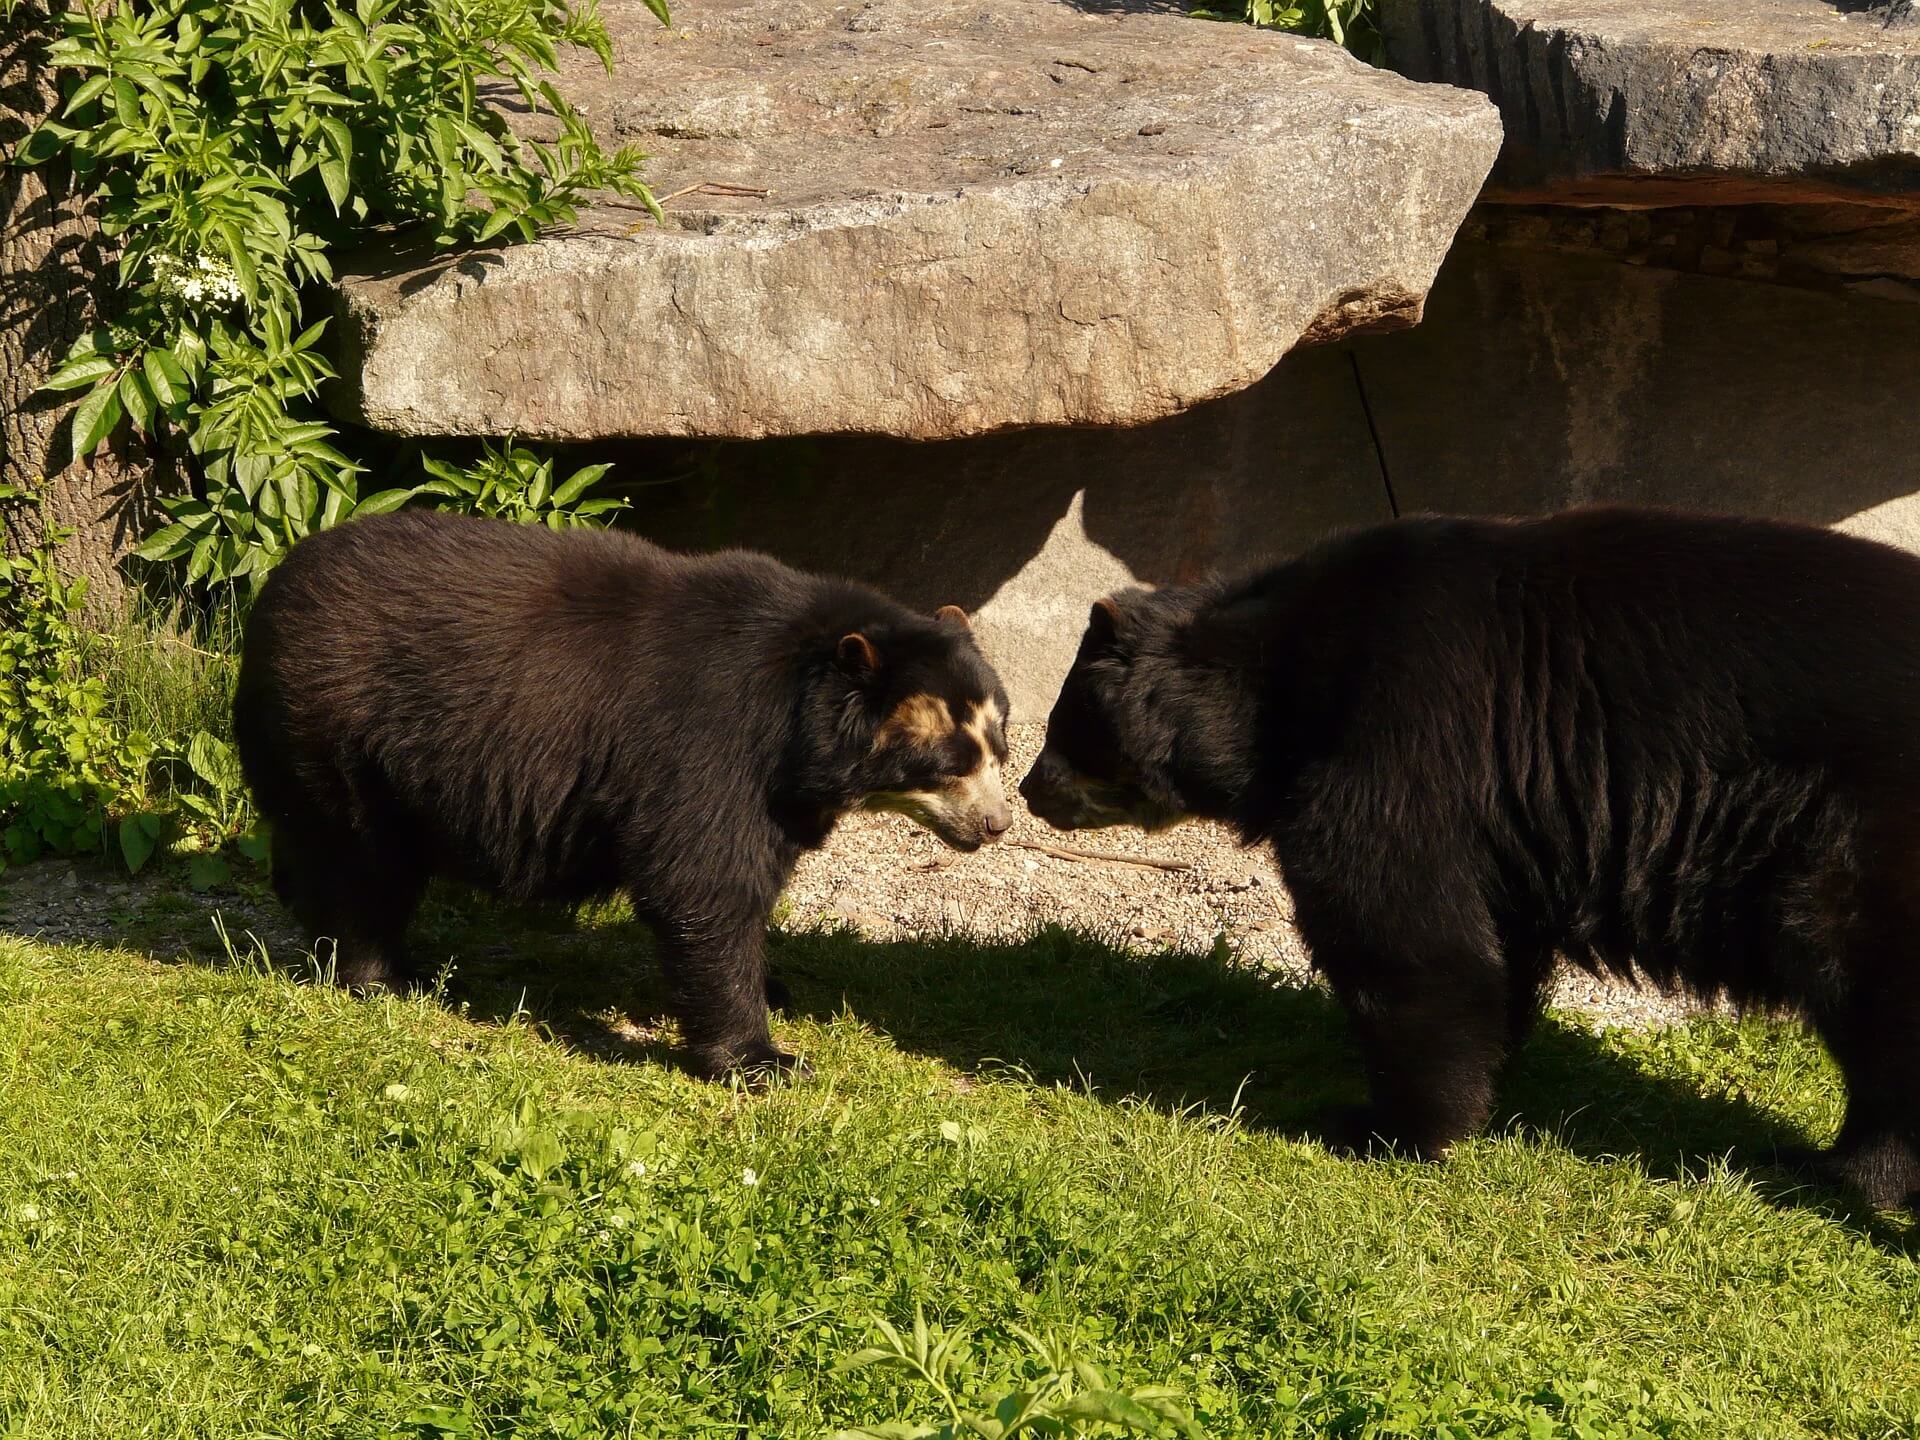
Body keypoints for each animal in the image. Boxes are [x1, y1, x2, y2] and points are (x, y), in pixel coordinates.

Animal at [234, 510, 1013, 1082]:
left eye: (999, 742)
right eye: (950, 760)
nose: (998, 824)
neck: (800, 719)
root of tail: (275, 584)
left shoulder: (782, 788)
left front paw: (777, 989)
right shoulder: (709, 742)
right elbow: (704, 880)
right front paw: (764, 1059)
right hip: (340, 729)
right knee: (359, 859)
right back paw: (381, 976)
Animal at [1029, 510, 1920, 1221]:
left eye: (1062, 722)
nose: (1031, 791)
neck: (1284, 685)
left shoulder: (1400, 740)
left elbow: (1405, 935)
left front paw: (1385, 1127)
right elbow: (1494, 945)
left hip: (1858, 842)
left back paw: (1837, 1173)